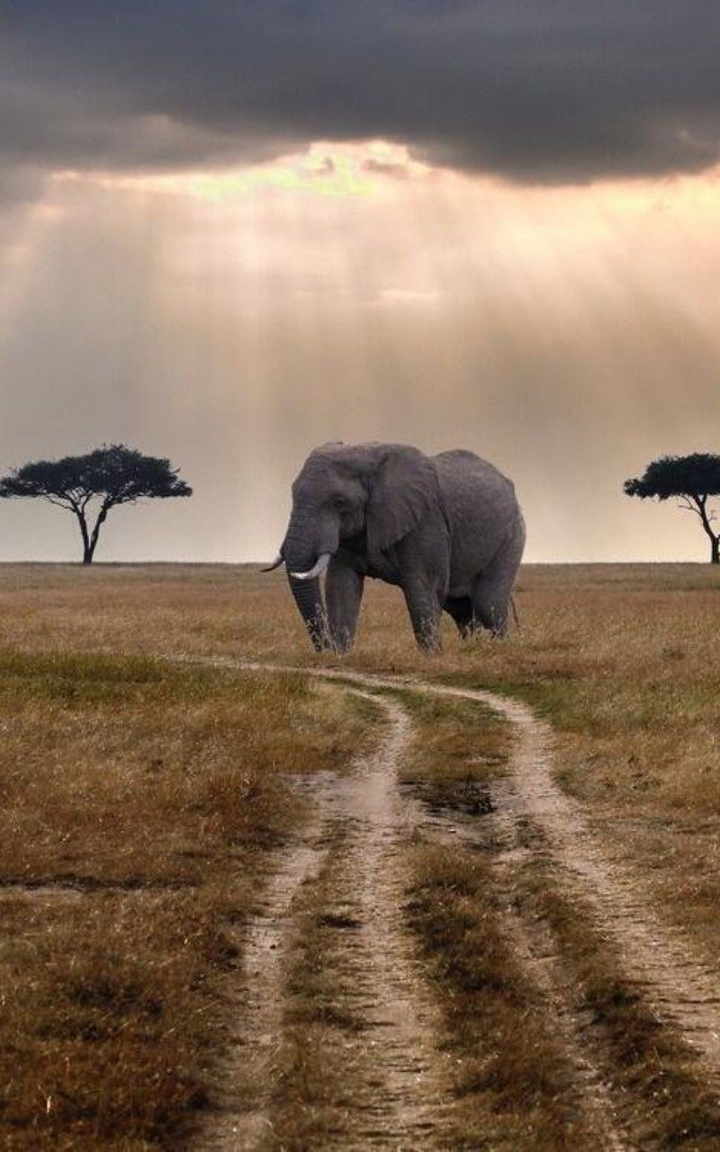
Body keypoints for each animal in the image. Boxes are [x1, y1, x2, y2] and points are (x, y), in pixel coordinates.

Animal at [264, 442, 525, 653]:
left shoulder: (425, 522)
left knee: (488, 604)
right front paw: (341, 656)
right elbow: (341, 587)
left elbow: (422, 589)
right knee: (461, 609)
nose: (325, 650)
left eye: (339, 502)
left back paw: (498, 650)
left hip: (511, 538)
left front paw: (432, 658)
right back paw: (472, 649)